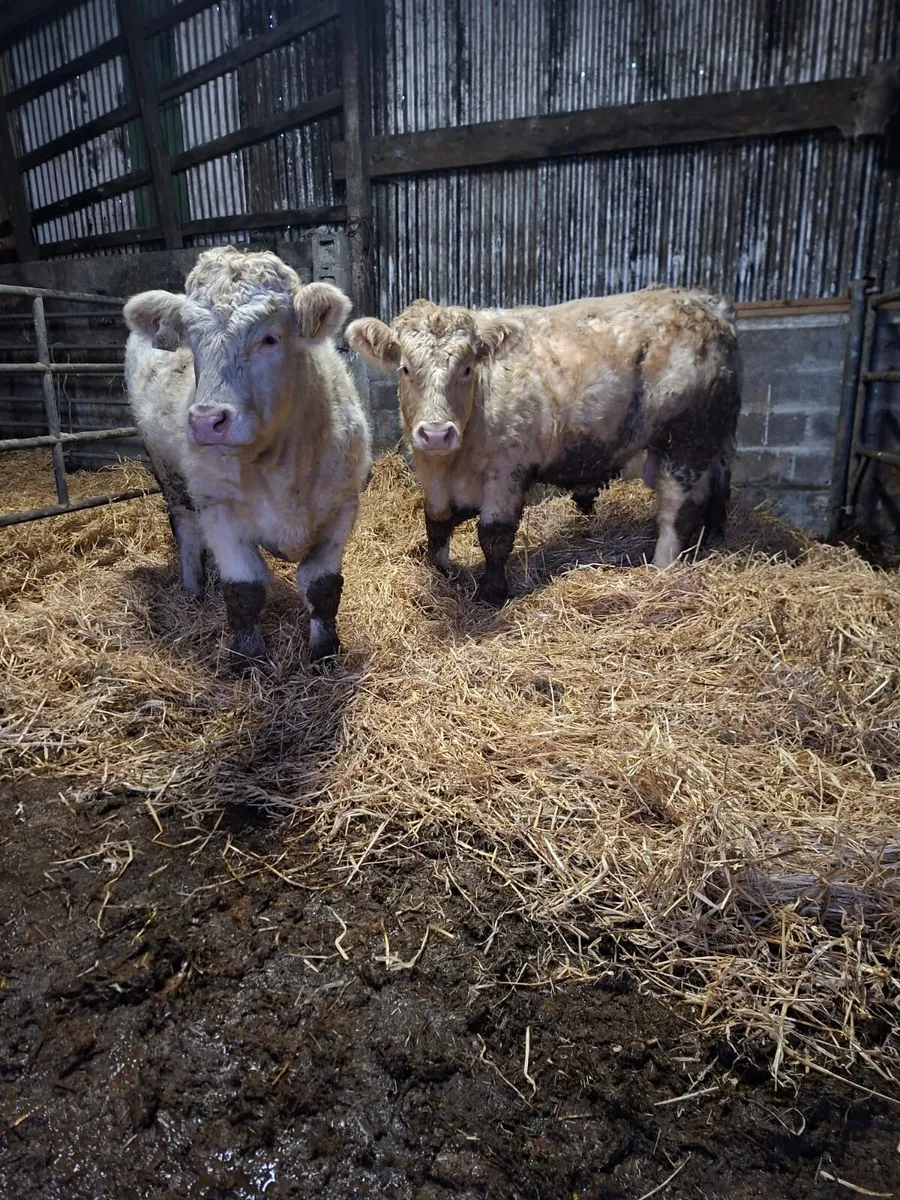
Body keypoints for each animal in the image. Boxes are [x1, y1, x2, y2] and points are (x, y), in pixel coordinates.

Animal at [123, 246, 371, 665]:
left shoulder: (342, 506)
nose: (207, 421)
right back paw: (192, 588)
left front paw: (324, 650)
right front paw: (248, 657)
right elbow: (244, 589)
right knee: (186, 529)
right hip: (167, 472)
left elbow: (322, 586)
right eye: (192, 341)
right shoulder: (219, 508)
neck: (282, 467)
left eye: (269, 338)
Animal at [347, 286, 741, 606]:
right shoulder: (430, 471)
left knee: (675, 509)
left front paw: (492, 594)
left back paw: (661, 569)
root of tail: (706, 303)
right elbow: (437, 523)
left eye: (467, 368)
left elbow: (494, 534)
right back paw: (705, 541)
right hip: (704, 442)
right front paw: (441, 573)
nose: (436, 432)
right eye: (405, 368)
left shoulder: (506, 471)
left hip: (689, 436)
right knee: (706, 496)